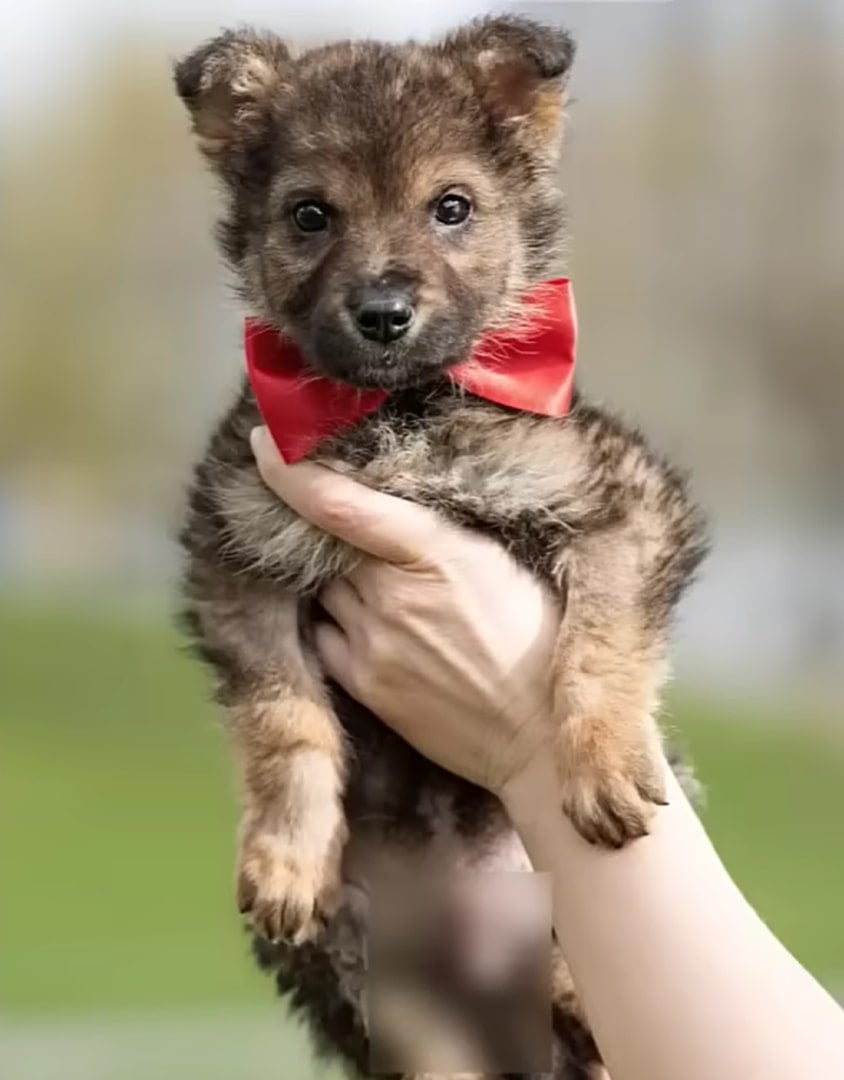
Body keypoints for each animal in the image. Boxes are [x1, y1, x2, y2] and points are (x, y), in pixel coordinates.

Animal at [176, 19, 704, 1080]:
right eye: (310, 216)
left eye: (450, 208)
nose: (383, 312)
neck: (401, 413)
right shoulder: (236, 555)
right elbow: (286, 723)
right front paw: (285, 856)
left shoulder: (620, 505)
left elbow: (598, 645)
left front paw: (600, 762)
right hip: (387, 992)